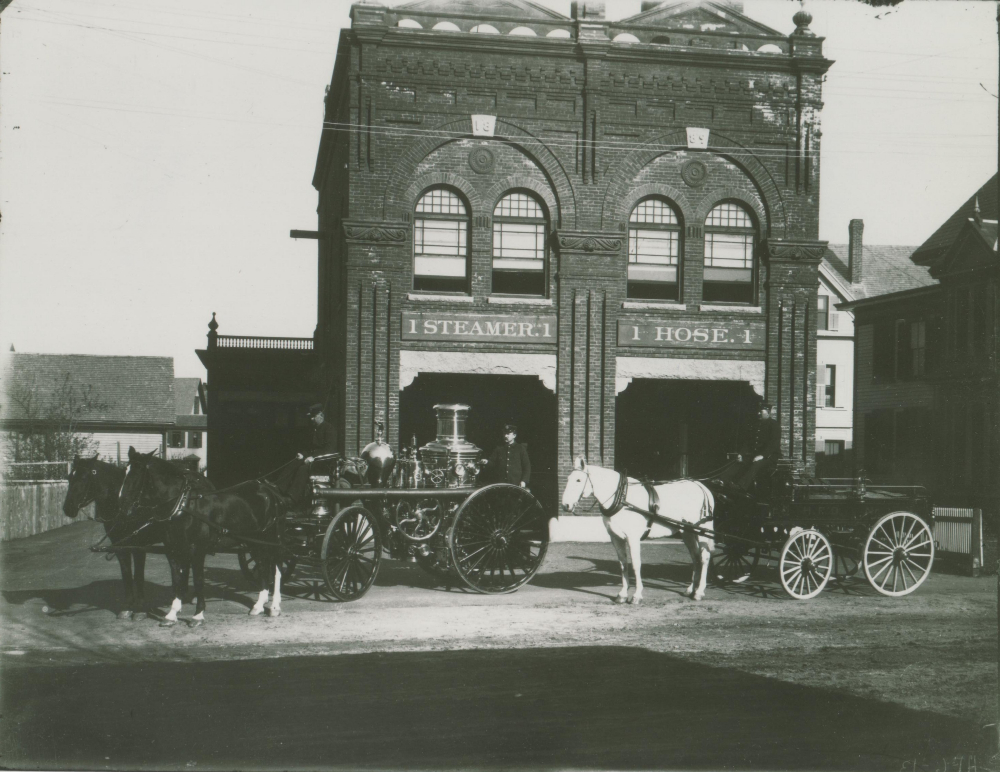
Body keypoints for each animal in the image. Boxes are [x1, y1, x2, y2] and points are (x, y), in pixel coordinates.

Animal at [120, 450, 290, 624]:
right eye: (124, 473)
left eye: (136, 476)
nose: (123, 508)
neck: (183, 506)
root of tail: (271, 490)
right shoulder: (172, 549)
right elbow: (176, 580)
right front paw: (172, 614)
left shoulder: (197, 550)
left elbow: (198, 580)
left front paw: (198, 615)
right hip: (255, 541)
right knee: (263, 565)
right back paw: (259, 605)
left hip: (273, 538)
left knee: (276, 567)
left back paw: (275, 606)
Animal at [560, 458, 716, 604]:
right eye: (568, 479)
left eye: (579, 480)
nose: (565, 505)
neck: (622, 498)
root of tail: (700, 486)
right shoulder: (616, 538)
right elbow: (623, 564)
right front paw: (622, 595)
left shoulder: (633, 538)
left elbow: (636, 564)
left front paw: (637, 595)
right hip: (687, 532)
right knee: (695, 557)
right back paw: (691, 589)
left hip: (702, 529)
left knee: (704, 557)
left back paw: (699, 592)